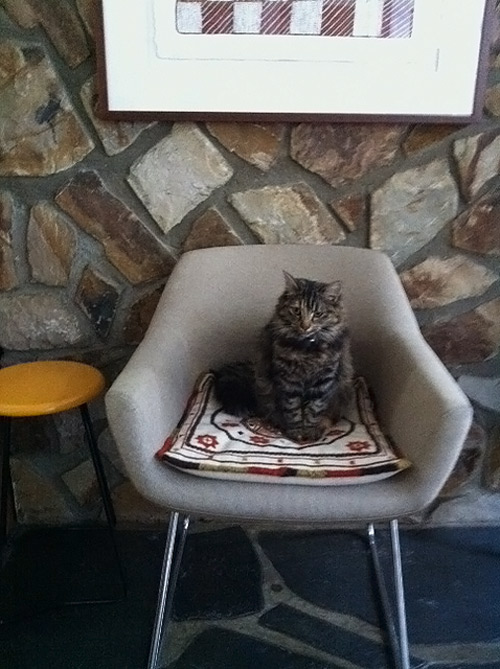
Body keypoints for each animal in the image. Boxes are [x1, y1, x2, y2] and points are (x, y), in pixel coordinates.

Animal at [213, 271, 353, 443]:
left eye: (318, 314)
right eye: (297, 311)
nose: (305, 326)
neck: (307, 351)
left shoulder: (323, 380)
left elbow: (314, 409)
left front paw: (309, 432)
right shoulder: (288, 381)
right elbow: (293, 410)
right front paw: (296, 433)